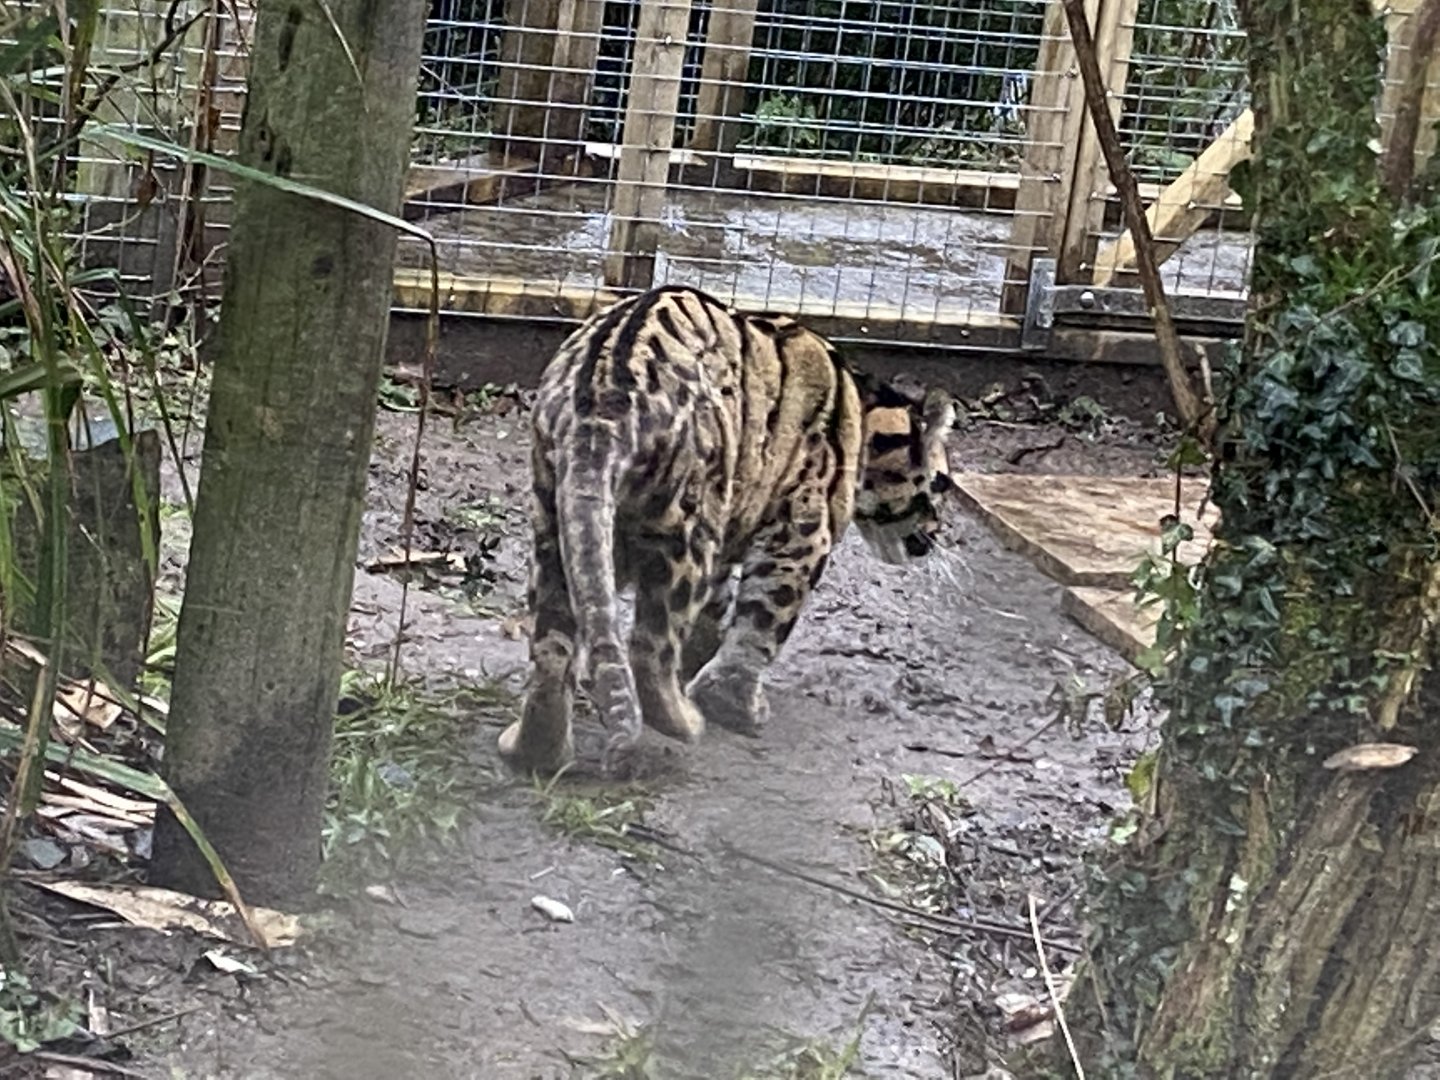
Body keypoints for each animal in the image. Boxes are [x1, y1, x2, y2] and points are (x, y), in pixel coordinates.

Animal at [497, 284, 957, 775]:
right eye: (943, 483)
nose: (936, 533)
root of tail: (601, 404)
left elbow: (716, 612)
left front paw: (703, 659)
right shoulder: (800, 532)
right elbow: (762, 623)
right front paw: (732, 703)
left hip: (557, 525)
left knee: (553, 647)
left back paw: (537, 749)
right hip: (686, 532)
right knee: (648, 647)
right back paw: (682, 721)